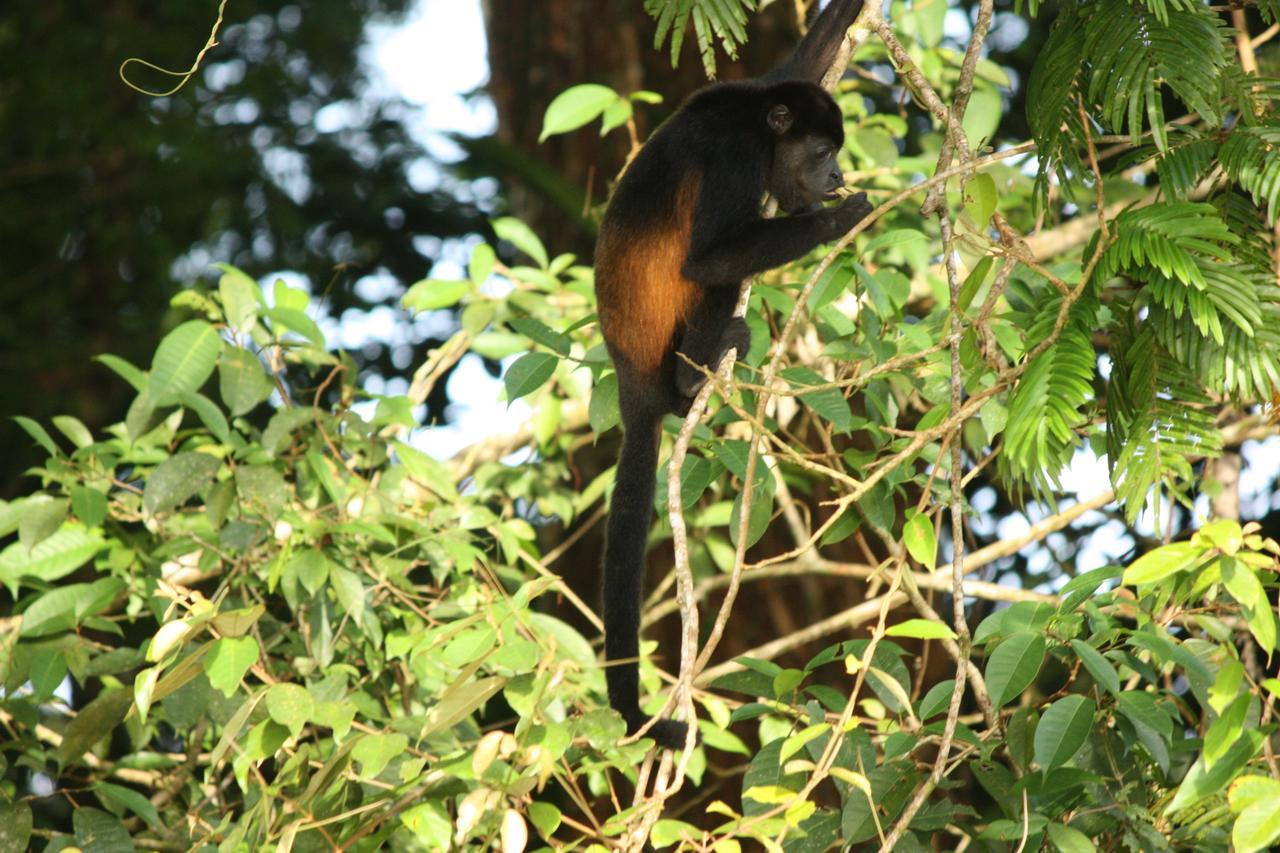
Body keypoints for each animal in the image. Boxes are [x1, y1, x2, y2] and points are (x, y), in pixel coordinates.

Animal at [593, 0, 875, 742]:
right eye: (822, 153)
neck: (756, 123)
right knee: (713, 281)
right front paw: (837, 218)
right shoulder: (737, 159)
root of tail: (630, 381)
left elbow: (801, 62)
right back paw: (697, 376)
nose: (836, 178)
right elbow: (709, 259)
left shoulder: (753, 90)